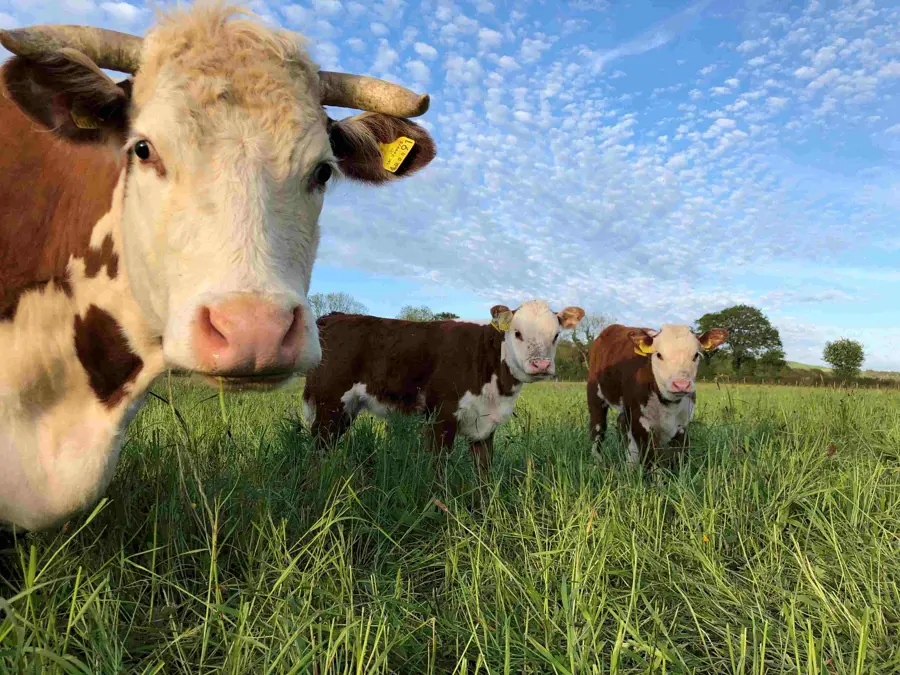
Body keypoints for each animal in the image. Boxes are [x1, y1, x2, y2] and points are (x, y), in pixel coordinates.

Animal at [301, 301, 585, 478]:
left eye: (556, 336)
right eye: (517, 333)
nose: (542, 365)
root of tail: (334, 316)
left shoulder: (484, 426)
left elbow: (484, 472)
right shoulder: (441, 417)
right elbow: (439, 470)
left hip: (345, 409)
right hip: (330, 403)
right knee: (317, 446)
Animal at [587, 324, 728, 468]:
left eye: (695, 355)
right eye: (659, 355)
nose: (681, 384)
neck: (669, 403)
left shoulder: (683, 422)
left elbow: (679, 454)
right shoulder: (640, 419)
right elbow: (653, 455)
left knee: (621, 422)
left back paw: (630, 464)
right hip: (595, 394)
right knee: (597, 428)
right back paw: (597, 462)